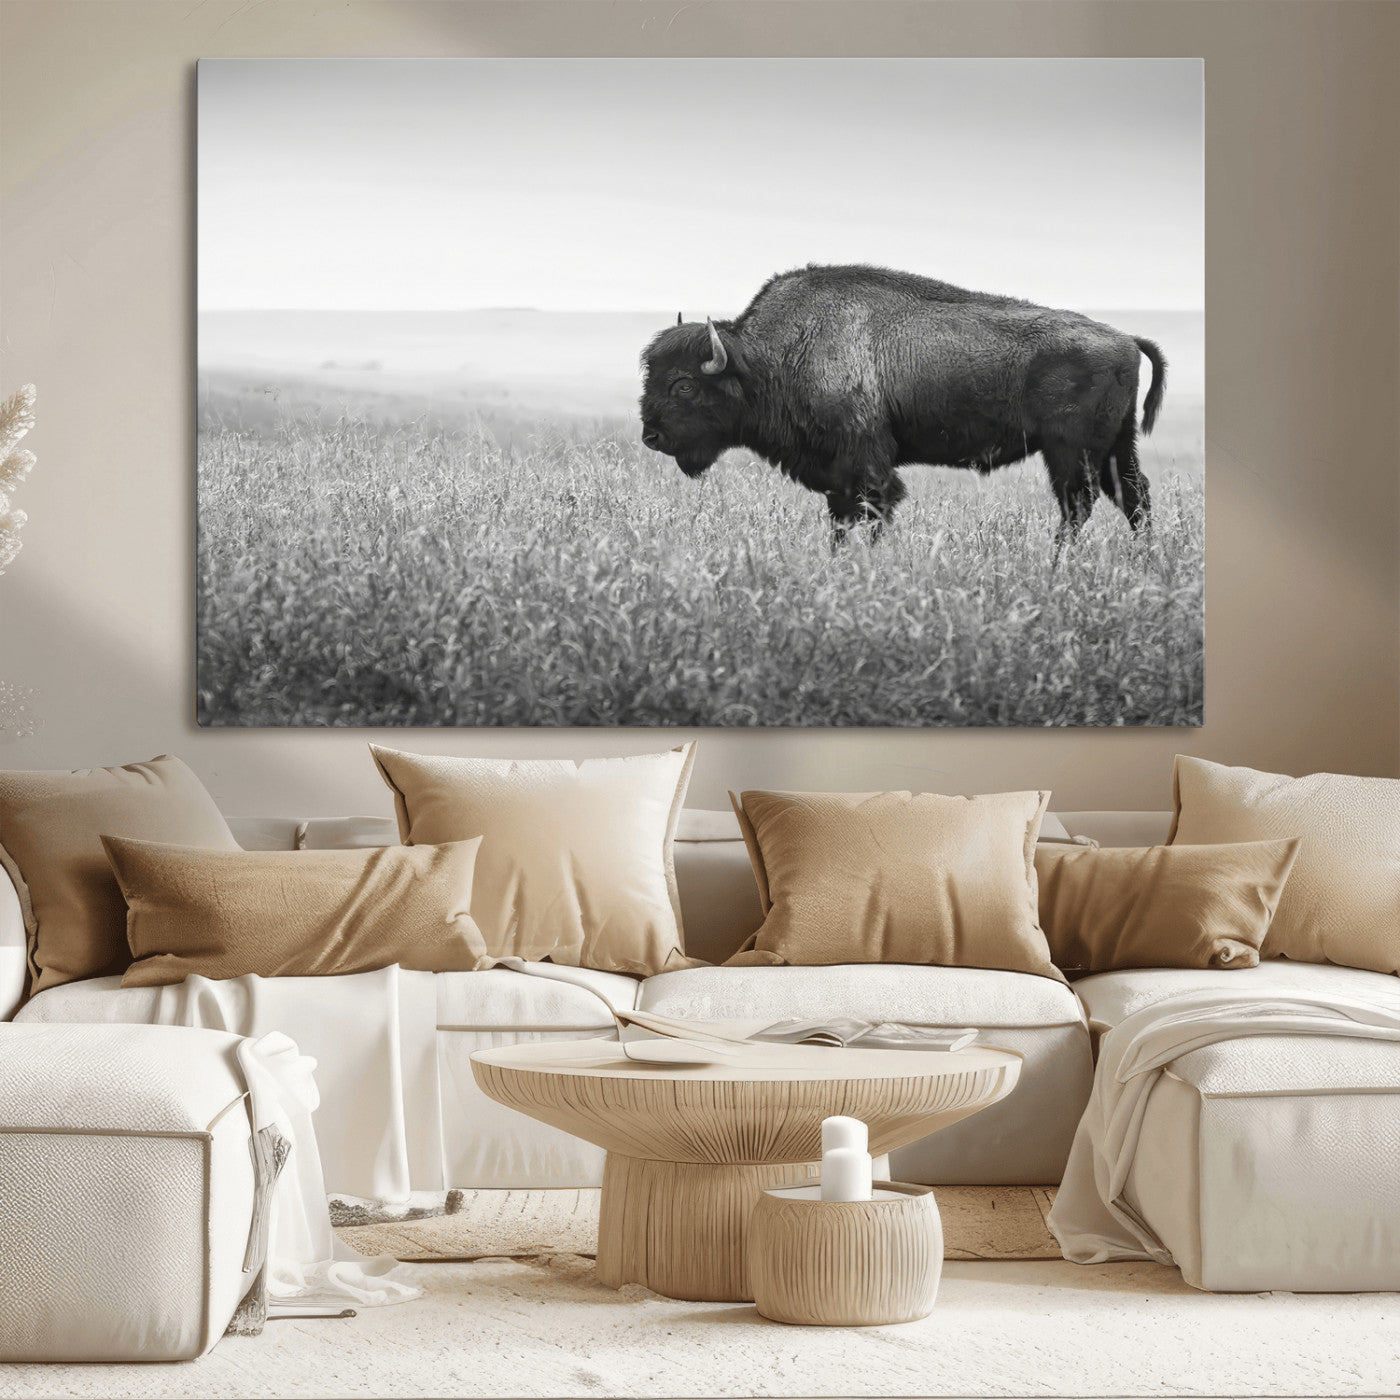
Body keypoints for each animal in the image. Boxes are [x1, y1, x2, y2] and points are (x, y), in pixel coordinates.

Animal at [639, 264, 1165, 546]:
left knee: (1079, 505)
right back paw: (1142, 561)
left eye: (684, 385)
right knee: (1133, 498)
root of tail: (1125, 338)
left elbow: (873, 511)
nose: (650, 436)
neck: (769, 358)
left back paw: (1057, 563)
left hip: (1070, 452)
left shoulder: (866, 465)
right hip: (1116, 446)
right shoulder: (837, 474)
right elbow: (841, 519)